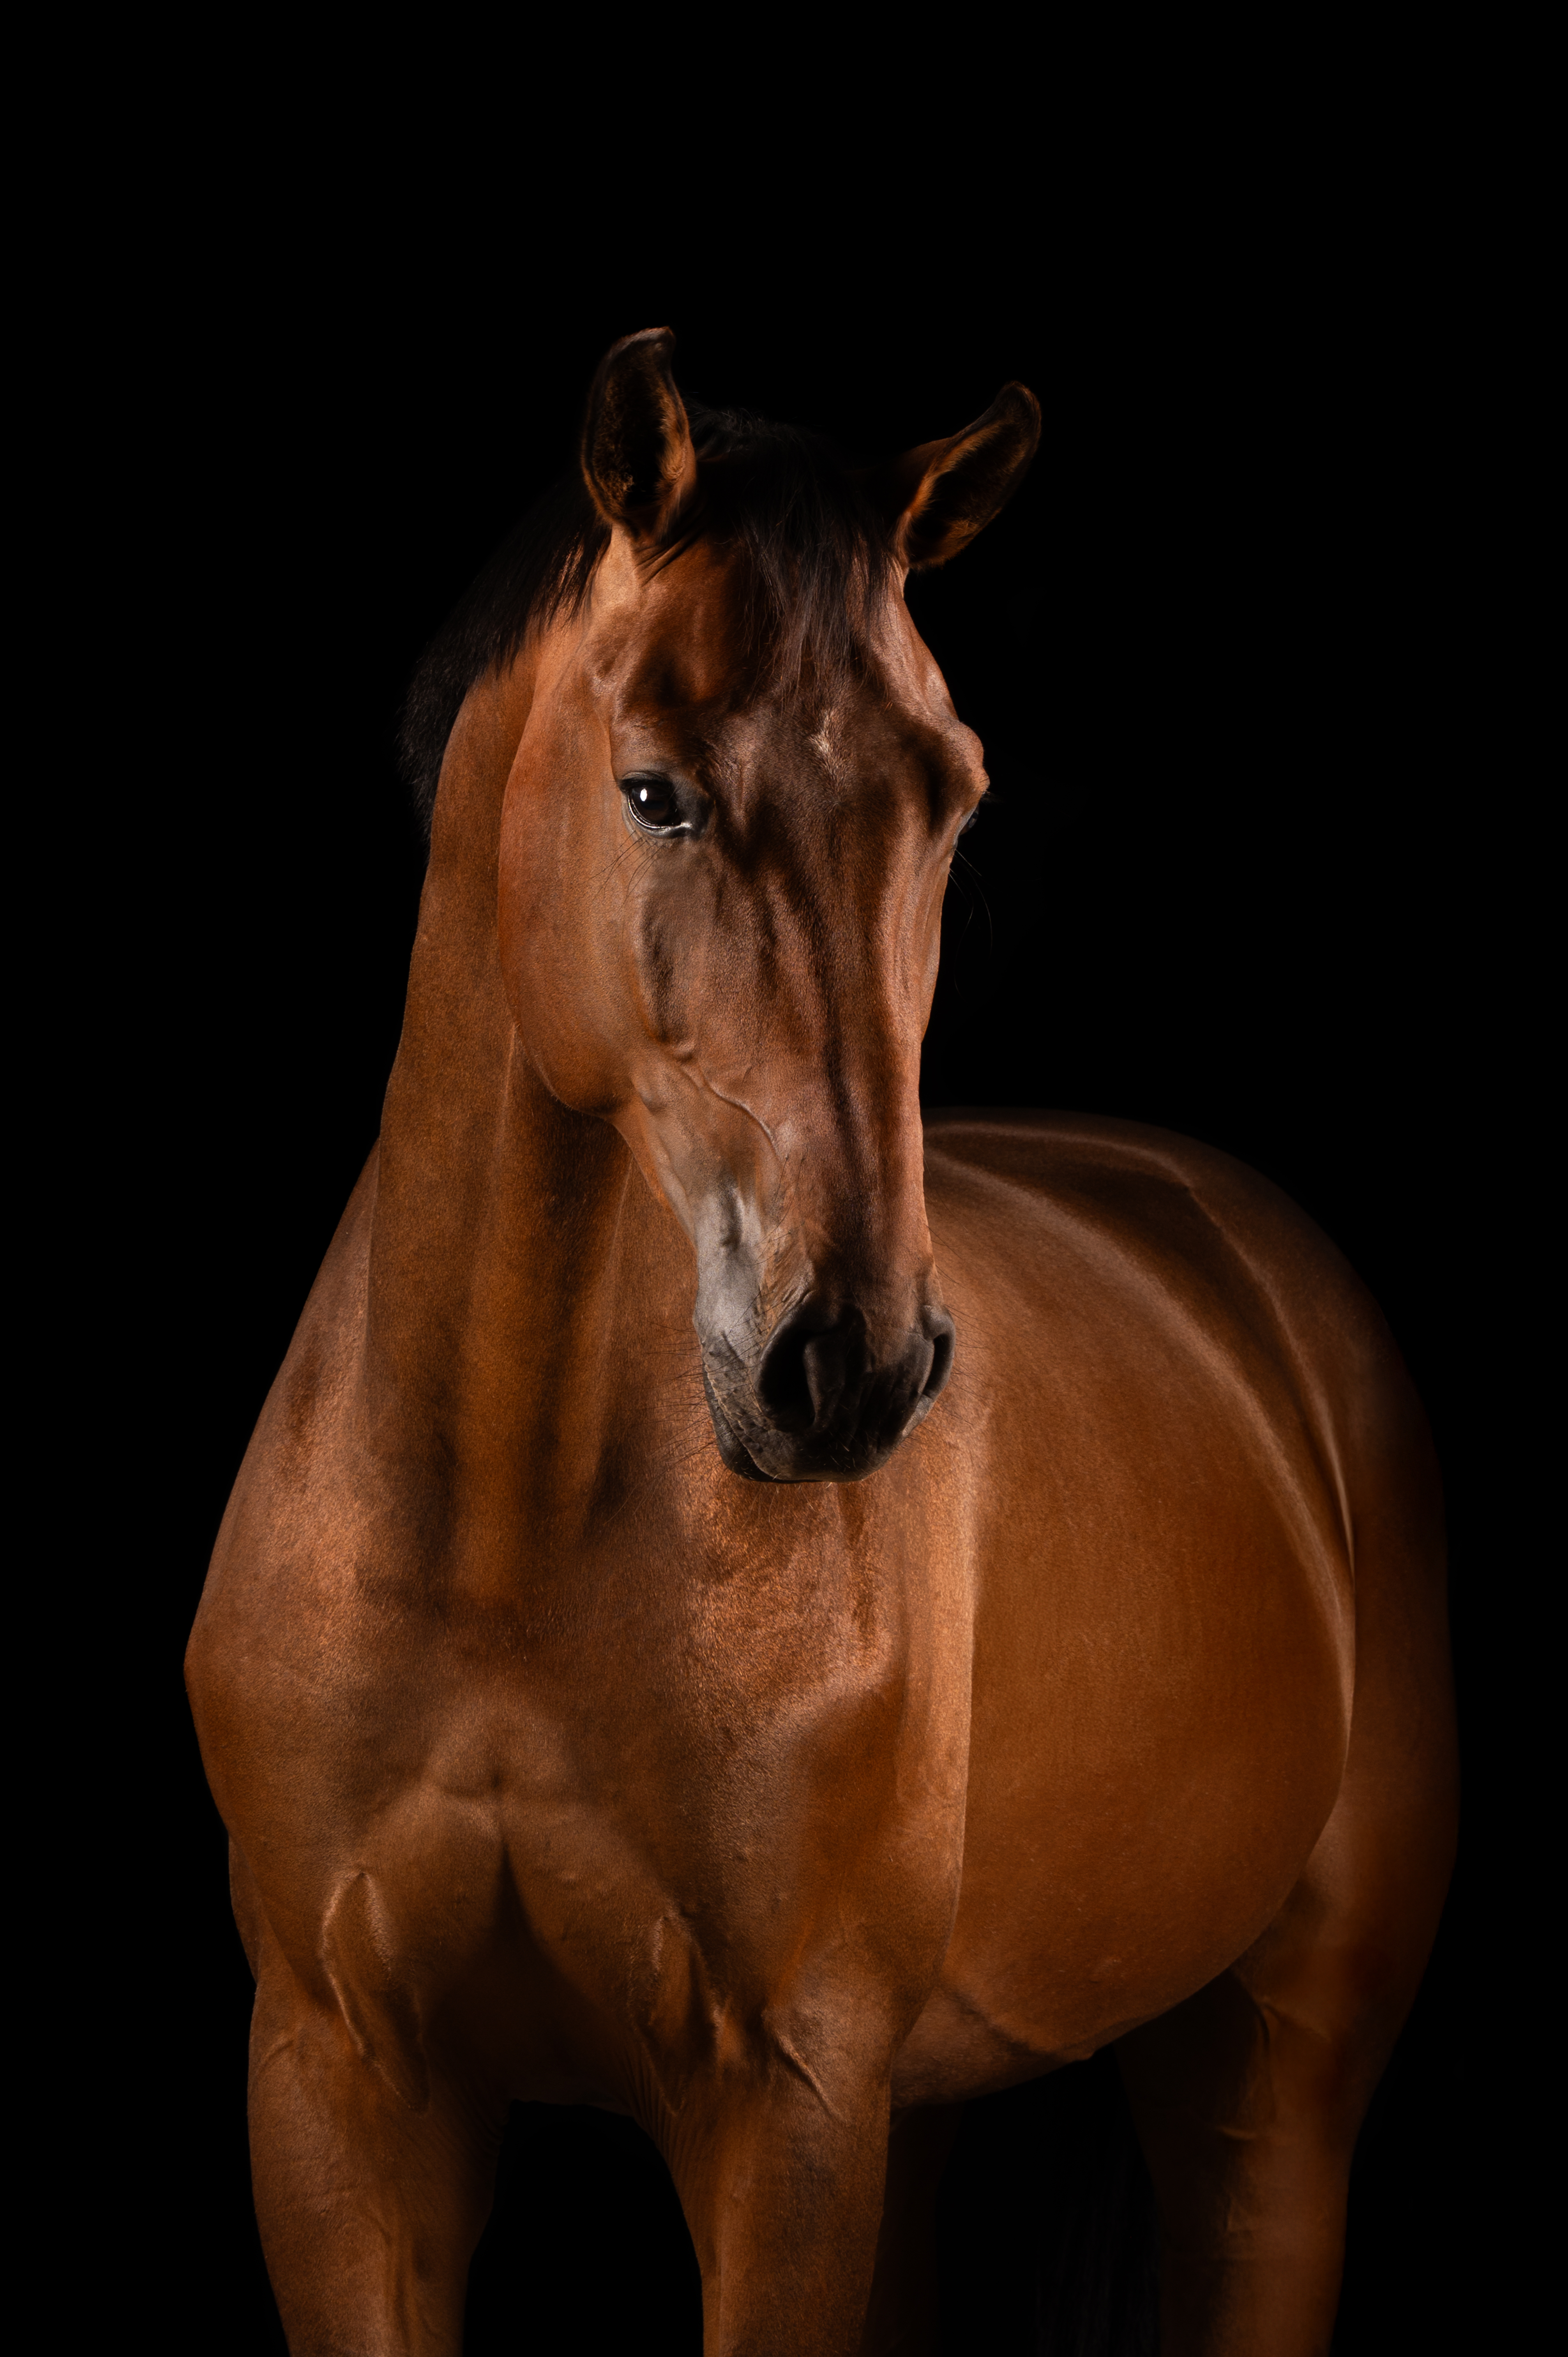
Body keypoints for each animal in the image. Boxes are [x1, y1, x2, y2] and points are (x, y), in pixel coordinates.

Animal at [186, 328, 1457, 2355]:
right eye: (651, 793)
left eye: (954, 797)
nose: (846, 1367)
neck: (497, 1536)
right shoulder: (336, 2093)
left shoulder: (781, 2103)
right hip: (917, 2116)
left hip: (1272, 2086)